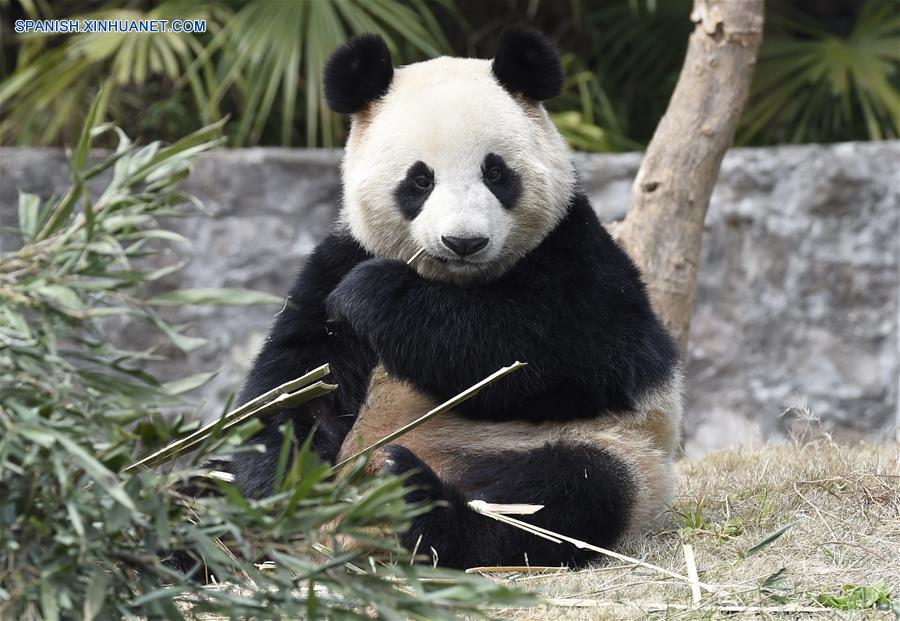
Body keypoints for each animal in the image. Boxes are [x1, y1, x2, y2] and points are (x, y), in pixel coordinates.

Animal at [230, 30, 684, 572]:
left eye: (497, 173)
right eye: (420, 179)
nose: (463, 242)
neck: (452, 282)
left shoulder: (578, 254)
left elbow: (568, 350)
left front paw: (375, 294)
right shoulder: (338, 259)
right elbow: (300, 381)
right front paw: (276, 493)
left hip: (614, 450)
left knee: (563, 495)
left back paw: (416, 499)